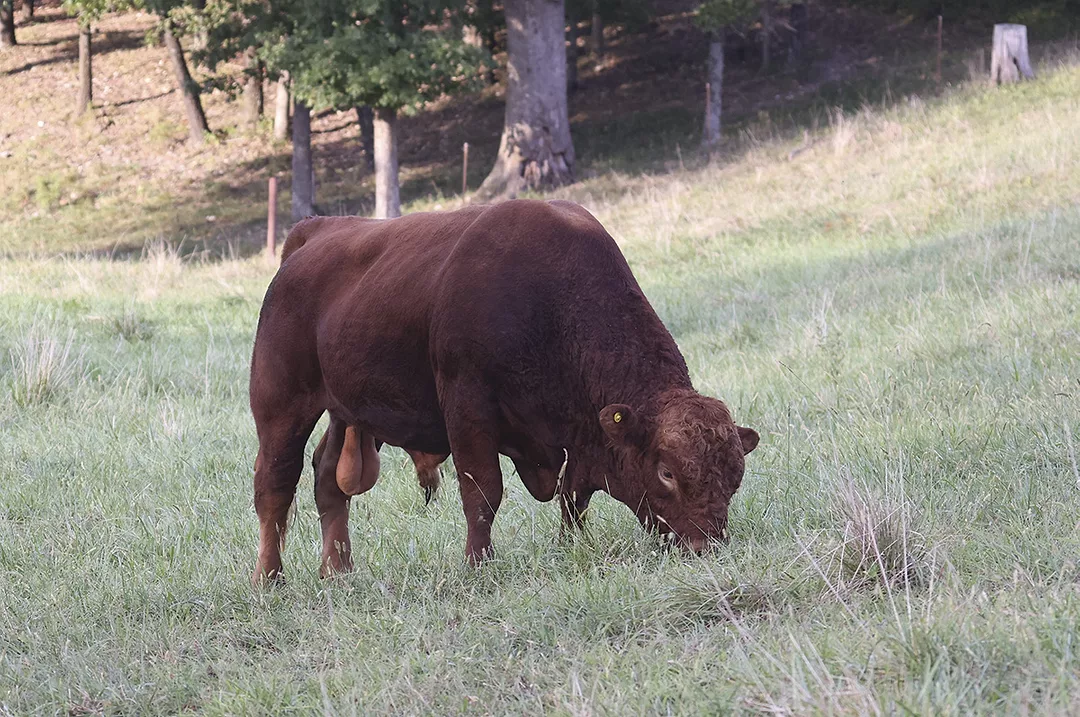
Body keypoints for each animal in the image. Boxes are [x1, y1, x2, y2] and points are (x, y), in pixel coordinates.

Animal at [249, 200, 758, 583]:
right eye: (667, 472)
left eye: (735, 476)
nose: (705, 545)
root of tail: (314, 231)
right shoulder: (468, 409)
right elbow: (483, 492)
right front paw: (478, 563)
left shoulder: (580, 440)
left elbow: (575, 499)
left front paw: (569, 546)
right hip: (280, 407)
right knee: (274, 487)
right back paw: (269, 579)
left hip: (346, 413)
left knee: (327, 479)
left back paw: (337, 571)